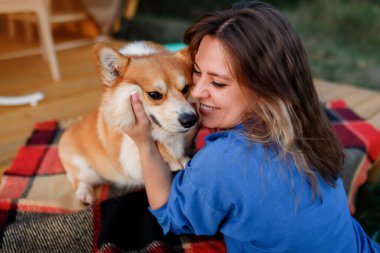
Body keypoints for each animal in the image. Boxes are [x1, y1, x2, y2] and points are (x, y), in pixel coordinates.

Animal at [58, 40, 199, 205]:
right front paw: (175, 157)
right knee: (79, 181)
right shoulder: (127, 155)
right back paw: (85, 195)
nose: (190, 120)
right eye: (154, 94)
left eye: (186, 88)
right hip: (83, 168)